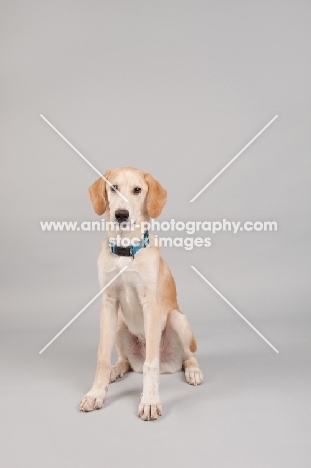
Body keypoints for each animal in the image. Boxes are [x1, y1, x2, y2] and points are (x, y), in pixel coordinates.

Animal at [79, 165, 204, 420]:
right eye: (113, 187)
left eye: (137, 190)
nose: (121, 214)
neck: (126, 251)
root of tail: (170, 366)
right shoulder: (108, 303)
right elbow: (102, 357)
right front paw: (96, 393)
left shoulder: (151, 306)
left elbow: (150, 364)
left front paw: (149, 400)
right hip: (118, 322)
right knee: (126, 361)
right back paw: (116, 370)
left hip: (177, 319)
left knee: (188, 356)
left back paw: (193, 371)